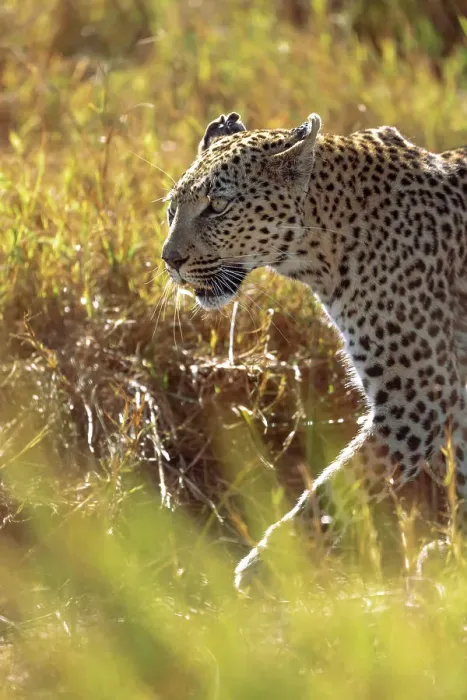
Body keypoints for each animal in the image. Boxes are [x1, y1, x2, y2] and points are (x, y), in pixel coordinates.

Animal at [161, 111, 467, 590]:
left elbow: (338, 490)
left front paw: (266, 568)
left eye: (218, 206)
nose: (169, 260)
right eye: (172, 209)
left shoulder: (418, 398)